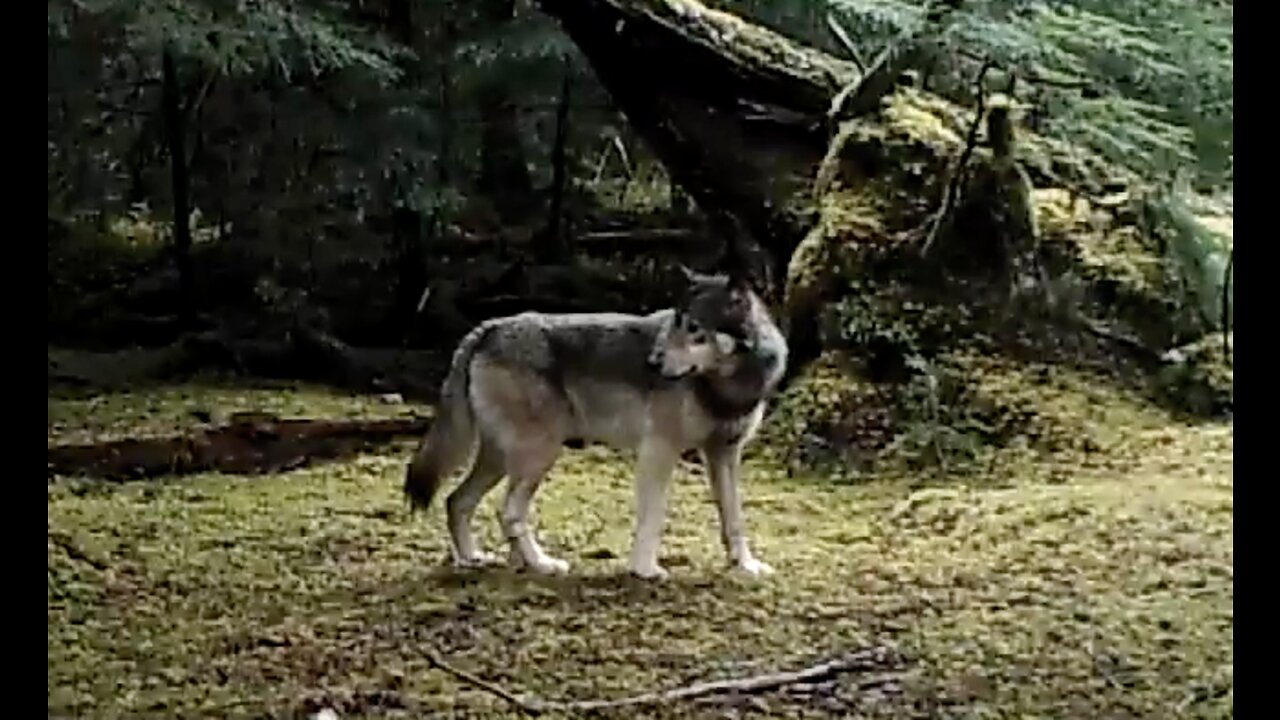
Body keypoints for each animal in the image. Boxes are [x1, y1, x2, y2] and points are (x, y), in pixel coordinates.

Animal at [404, 265, 783, 576]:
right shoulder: (660, 449)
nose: (652, 362)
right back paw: (542, 564)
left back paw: (473, 558)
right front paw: (645, 569)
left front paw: (746, 565)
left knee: (457, 501)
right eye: (675, 322)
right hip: (539, 454)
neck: (725, 383)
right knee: (507, 512)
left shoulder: (725, 454)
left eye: (693, 328)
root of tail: (488, 327)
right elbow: (653, 517)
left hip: (501, 459)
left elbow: (734, 518)